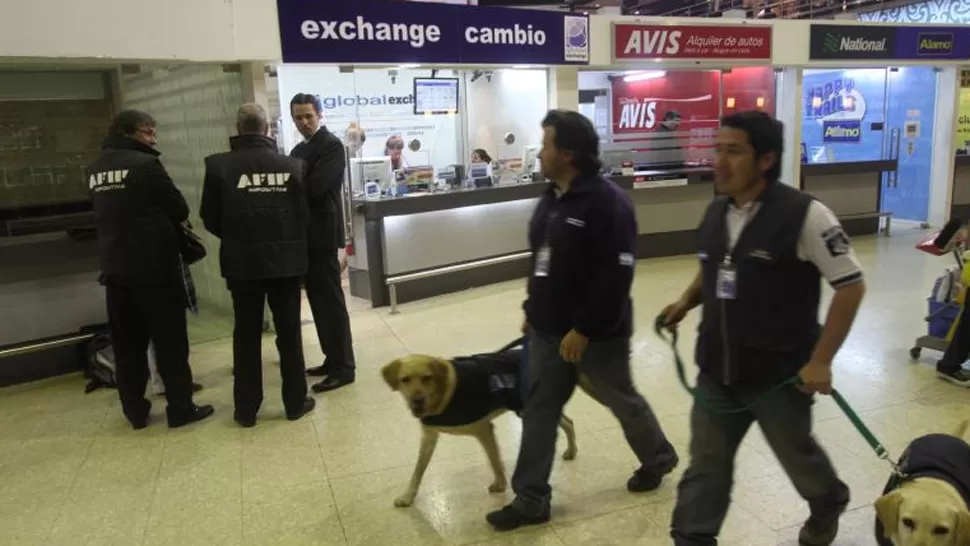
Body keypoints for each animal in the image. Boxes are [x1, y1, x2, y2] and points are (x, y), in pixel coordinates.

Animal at [380, 348, 596, 506]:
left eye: (427, 378)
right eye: (405, 380)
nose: (417, 401)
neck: (443, 395)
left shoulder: (483, 429)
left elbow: (494, 459)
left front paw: (500, 483)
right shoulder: (429, 436)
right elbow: (418, 469)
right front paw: (408, 495)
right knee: (568, 422)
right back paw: (571, 451)